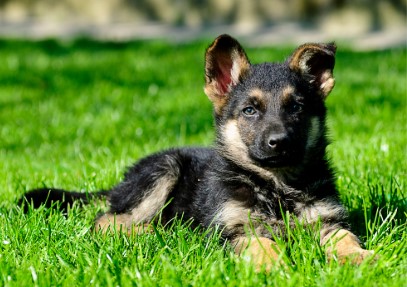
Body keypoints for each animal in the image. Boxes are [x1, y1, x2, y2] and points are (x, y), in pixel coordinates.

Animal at [20, 34, 374, 270]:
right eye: (249, 111)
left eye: (297, 107)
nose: (279, 142)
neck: (276, 188)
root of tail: (120, 184)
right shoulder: (233, 229)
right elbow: (260, 243)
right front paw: (273, 266)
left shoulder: (328, 221)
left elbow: (345, 237)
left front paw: (360, 257)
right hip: (165, 168)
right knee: (106, 221)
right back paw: (156, 231)